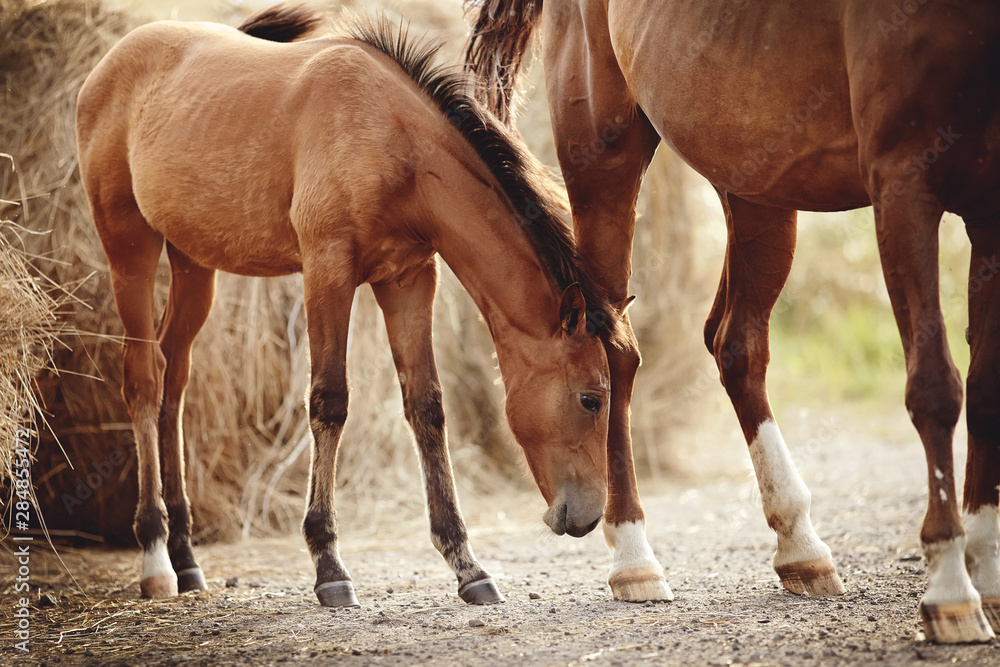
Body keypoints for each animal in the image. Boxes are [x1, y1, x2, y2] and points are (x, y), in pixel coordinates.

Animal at [76, 4, 624, 608]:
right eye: (592, 399)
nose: (587, 516)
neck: (392, 140)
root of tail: (107, 65)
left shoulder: (408, 279)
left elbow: (426, 407)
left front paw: (466, 565)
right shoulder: (328, 270)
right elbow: (329, 401)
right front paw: (329, 565)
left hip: (195, 265)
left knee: (174, 384)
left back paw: (186, 556)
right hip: (130, 249)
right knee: (144, 381)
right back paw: (155, 556)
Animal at [465, 0, 1000, 643]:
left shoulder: (992, 211)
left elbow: (989, 388)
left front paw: (987, 571)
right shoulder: (904, 186)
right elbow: (935, 388)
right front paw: (952, 590)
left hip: (754, 171)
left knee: (735, 343)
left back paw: (800, 547)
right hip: (602, 156)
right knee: (614, 350)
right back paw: (634, 556)